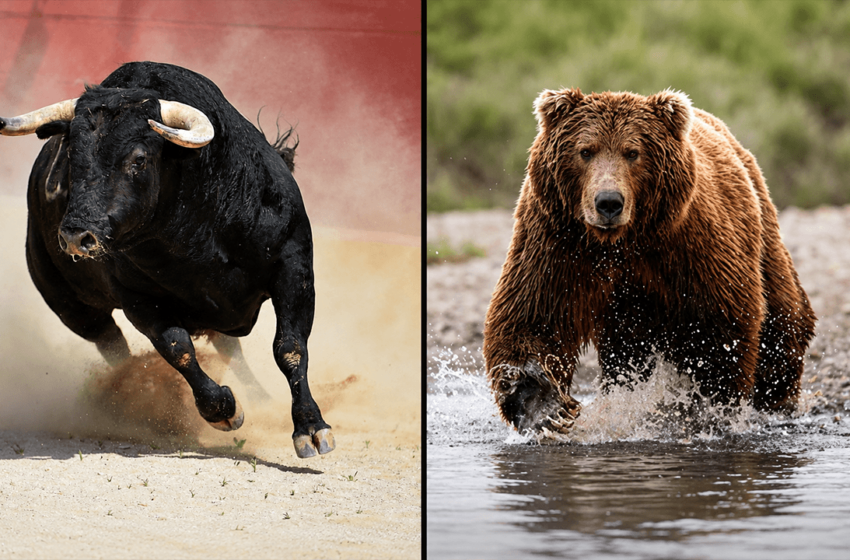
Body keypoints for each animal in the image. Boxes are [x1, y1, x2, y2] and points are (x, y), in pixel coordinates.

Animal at [0, 61, 333, 458]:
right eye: (70, 158)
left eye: (138, 159)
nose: (75, 236)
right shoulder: (139, 300)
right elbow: (179, 350)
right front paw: (224, 410)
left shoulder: (294, 267)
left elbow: (290, 347)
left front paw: (311, 427)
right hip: (74, 309)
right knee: (116, 349)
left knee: (230, 348)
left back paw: (264, 401)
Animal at [483, 88, 816, 436]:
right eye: (585, 150)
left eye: (633, 152)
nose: (608, 202)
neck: (619, 242)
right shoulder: (557, 242)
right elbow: (533, 315)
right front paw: (546, 407)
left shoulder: (687, 245)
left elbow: (719, 324)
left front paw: (705, 409)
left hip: (762, 230)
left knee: (783, 320)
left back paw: (777, 400)